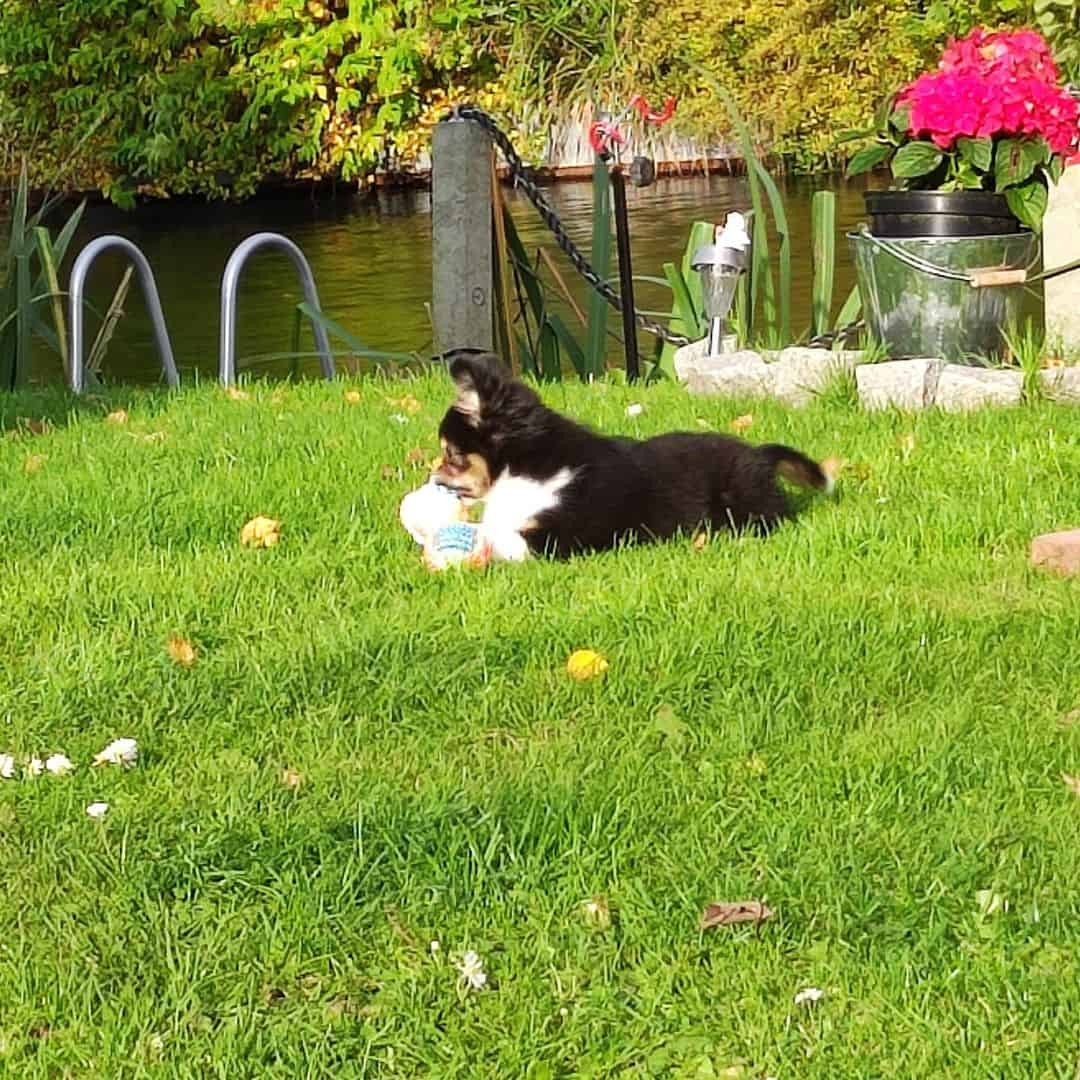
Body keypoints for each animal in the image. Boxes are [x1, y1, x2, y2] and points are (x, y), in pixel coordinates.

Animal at [432, 349, 833, 561]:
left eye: (452, 455)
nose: (433, 479)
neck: (528, 467)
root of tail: (758, 454)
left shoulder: (558, 539)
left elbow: (496, 530)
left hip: (743, 507)